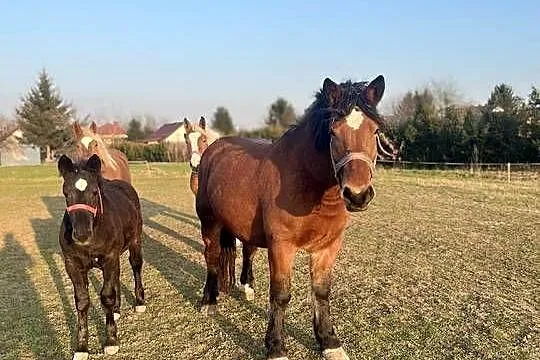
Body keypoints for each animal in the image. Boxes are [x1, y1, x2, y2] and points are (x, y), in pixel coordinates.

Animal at [198, 74, 388, 358]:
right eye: (333, 132)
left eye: (375, 131)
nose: (357, 194)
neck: (307, 183)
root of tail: (214, 148)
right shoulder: (282, 246)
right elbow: (281, 295)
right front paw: (276, 347)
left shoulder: (328, 247)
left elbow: (321, 292)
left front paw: (329, 342)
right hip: (209, 222)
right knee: (211, 257)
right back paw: (209, 302)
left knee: (246, 252)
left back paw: (246, 287)